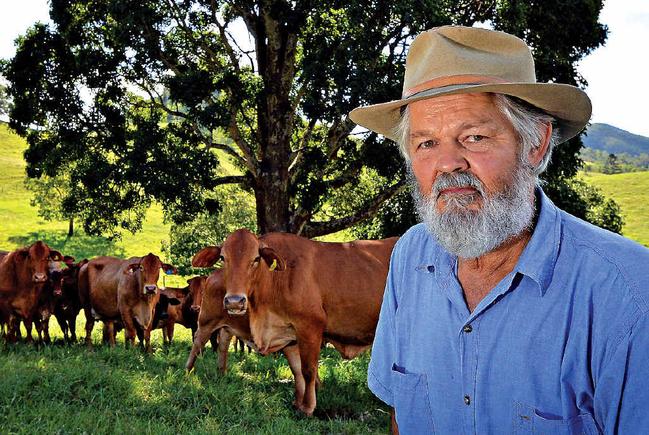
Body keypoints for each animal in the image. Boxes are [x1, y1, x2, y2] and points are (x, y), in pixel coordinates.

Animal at [190, 228, 398, 416]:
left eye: (256, 259)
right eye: (223, 258)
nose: (234, 301)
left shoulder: (310, 326)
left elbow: (308, 370)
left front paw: (308, 407)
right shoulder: (290, 334)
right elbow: (296, 370)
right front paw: (298, 403)